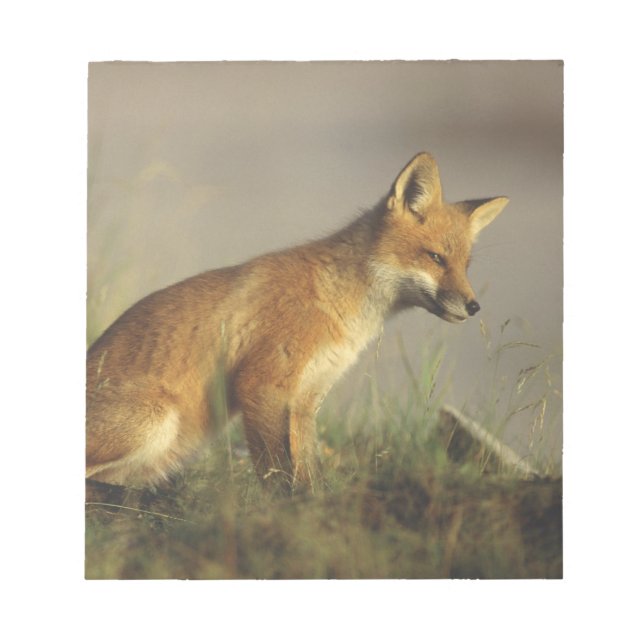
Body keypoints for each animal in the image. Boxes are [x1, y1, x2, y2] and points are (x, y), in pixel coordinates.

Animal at [86, 152, 508, 493]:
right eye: (435, 258)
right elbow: (277, 473)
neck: (336, 301)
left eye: (465, 266)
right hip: (156, 420)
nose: (474, 306)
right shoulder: (262, 385)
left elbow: (309, 472)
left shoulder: (306, 399)